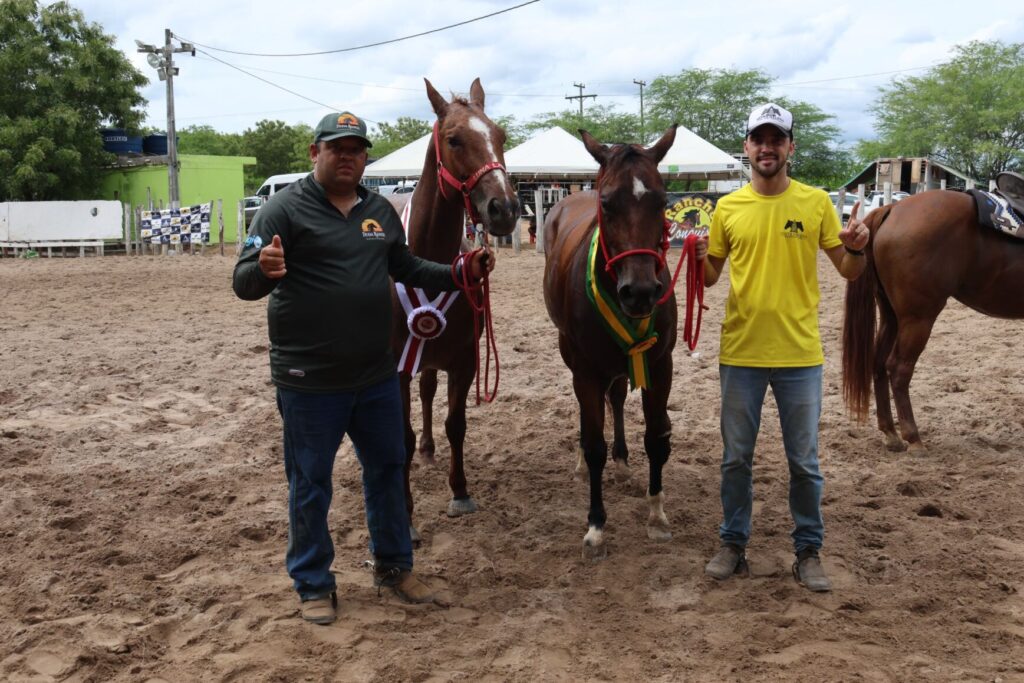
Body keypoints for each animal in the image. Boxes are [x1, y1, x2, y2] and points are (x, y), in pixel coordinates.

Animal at [387, 78, 520, 540]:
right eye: (454, 139)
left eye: (501, 136)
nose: (505, 208)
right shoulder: (396, 368)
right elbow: (400, 437)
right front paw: (405, 513)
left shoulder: (464, 360)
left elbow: (455, 425)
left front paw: (460, 492)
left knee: (429, 394)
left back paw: (430, 451)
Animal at [544, 125, 679, 557]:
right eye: (607, 202)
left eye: (662, 200)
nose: (640, 292)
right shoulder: (585, 371)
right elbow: (594, 446)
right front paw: (596, 524)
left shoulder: (659, 365)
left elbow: (655, 437)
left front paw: (657, 514)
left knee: (617, 398)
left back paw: (622, 461)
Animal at [839, 189, 1024, 450]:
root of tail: (892, 208)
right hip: (918, 318)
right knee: (898, 368)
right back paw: (913, 437)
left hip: (892, 316)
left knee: (879, 363)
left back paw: (891, 432)